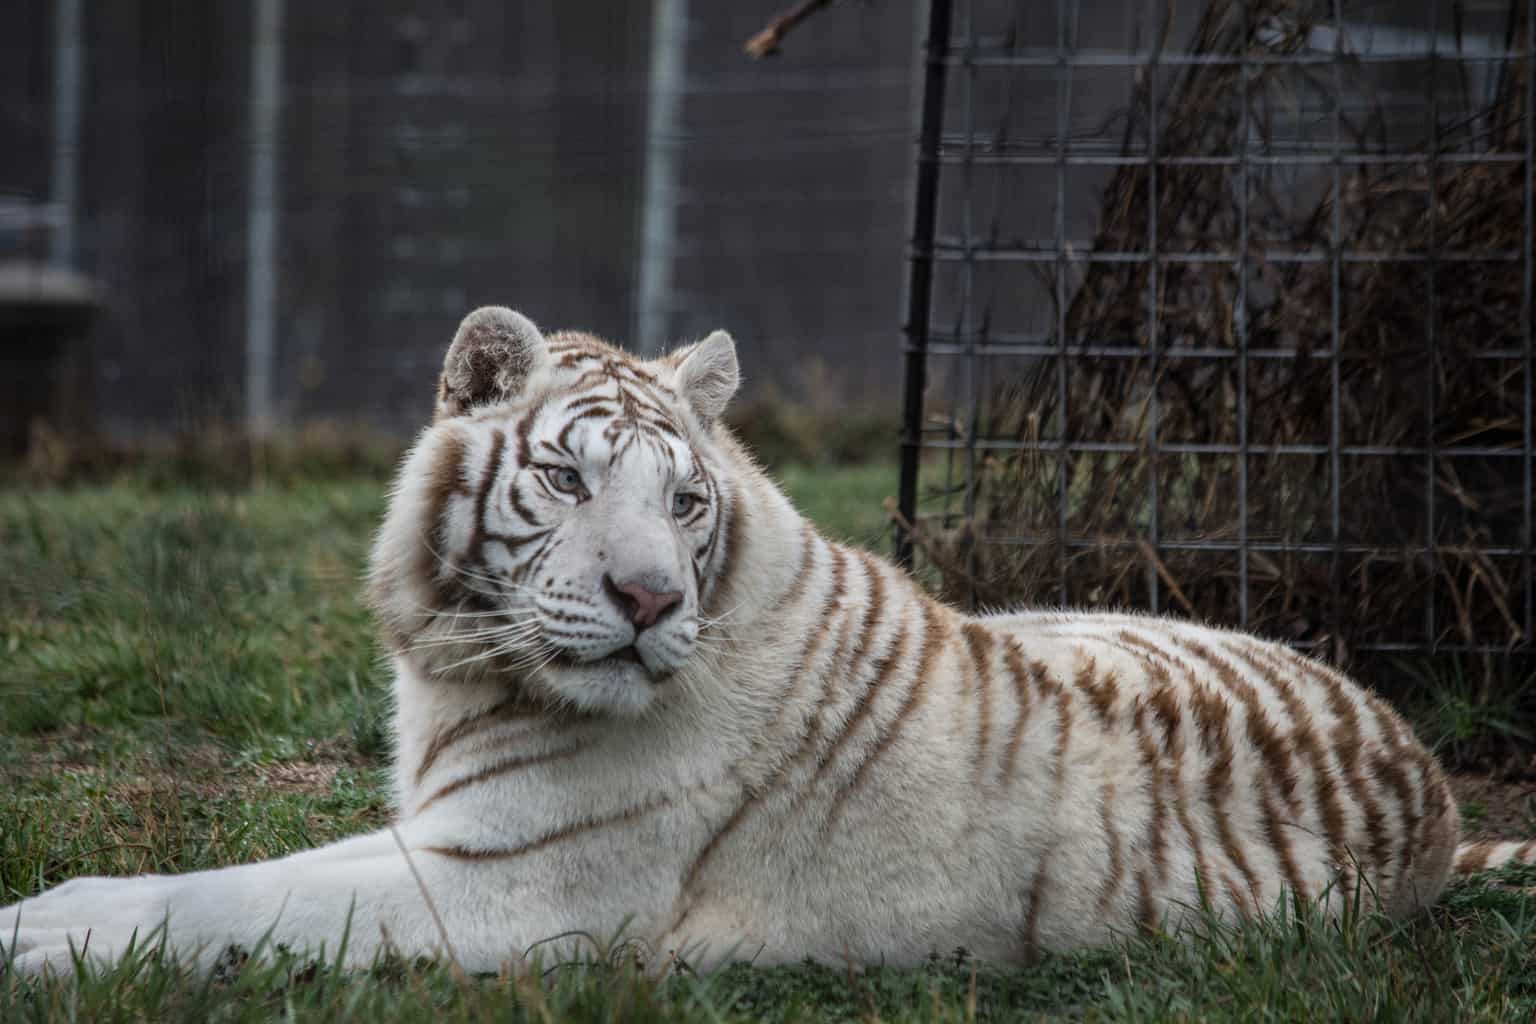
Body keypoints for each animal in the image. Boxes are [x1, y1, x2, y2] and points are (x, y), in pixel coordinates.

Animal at [3, 307, 1536, 976]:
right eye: (566, 479)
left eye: (685, 502)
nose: (647, 601)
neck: (475, 675)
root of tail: (1432, 794)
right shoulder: (450, 830)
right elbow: (226, 875)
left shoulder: (523, 887)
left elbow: (232, 904)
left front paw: (42, 941)